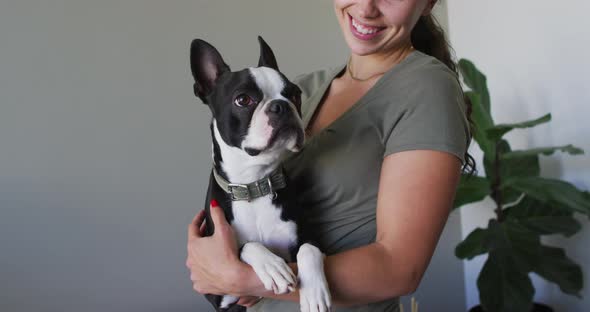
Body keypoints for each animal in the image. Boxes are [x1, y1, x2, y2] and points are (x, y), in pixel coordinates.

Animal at [192, 37, 332, 312]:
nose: (282, 106)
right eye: (243, 100)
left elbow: (309, 249)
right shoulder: (222, 292)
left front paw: (315, 293)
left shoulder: (309, 237)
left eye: (295, 94)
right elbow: (245, 246)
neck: (253, 184)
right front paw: (272, 267)